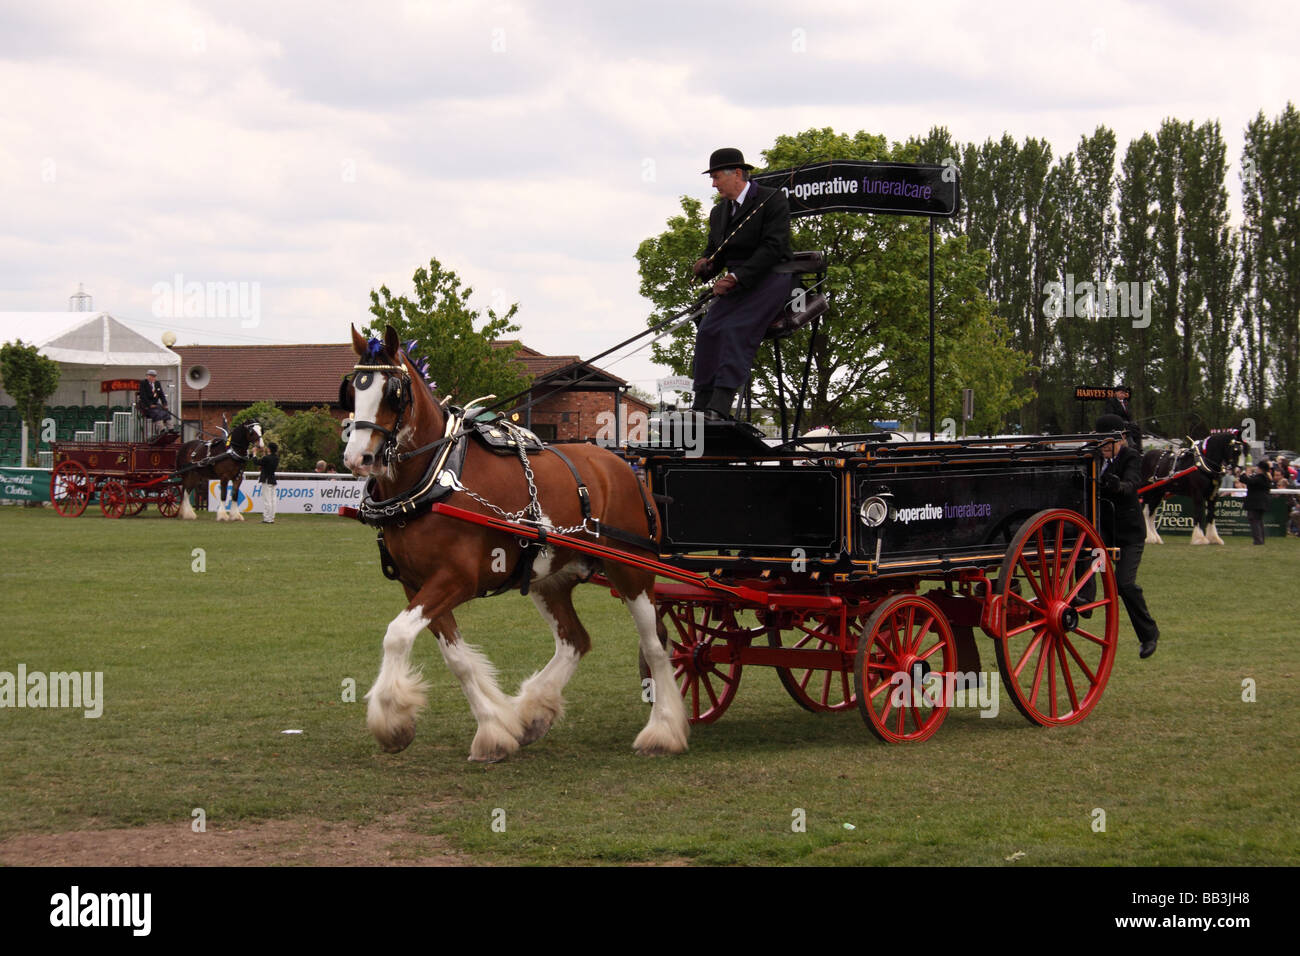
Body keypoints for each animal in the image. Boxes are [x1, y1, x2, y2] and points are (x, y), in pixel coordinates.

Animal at [340, 324, 687, 762]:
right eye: (353, 390)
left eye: (393, 393)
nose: (358, 459)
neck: (436, 477)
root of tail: (623, 466)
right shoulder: (416, 584)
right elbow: (456, 658)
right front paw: (494, 729)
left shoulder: (456, 579)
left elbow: (397, 635)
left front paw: (392, 721)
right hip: (551, 578)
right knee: (575, 640)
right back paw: (534, 712)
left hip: (632, 569)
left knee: (655, 646)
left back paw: (663, 731)